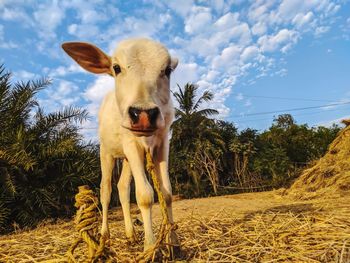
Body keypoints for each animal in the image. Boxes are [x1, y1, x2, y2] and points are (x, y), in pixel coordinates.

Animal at [61, 38, 179, 252]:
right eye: (116, 68)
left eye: (167, 70)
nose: (143, 115)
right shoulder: (131, 143)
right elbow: (144, 195)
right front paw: (150, 247)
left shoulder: (162, 141)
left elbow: (166, 193)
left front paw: (173, 242)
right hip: (106, 151)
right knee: (106, 190)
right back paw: (104, 234)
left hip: (126, 158)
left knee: (123, 187)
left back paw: (131, 234)